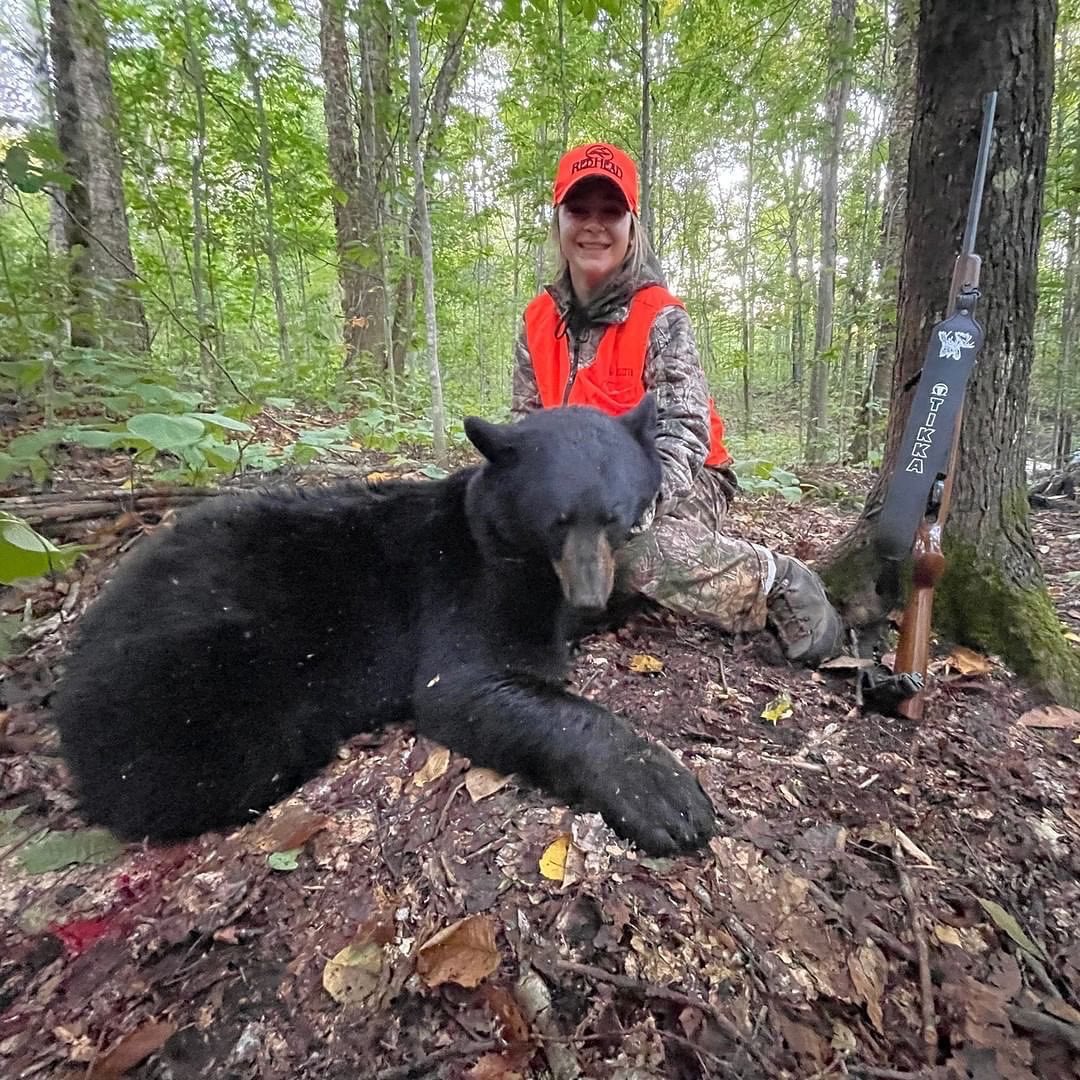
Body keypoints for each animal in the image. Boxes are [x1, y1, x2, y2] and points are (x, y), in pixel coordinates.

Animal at [52, 399, 717, 855]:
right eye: (557, 520)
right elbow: (466, 686)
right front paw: (662, 790)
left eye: (614, 516)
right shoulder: (465, 584)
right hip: (196, 673)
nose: (586, 595)